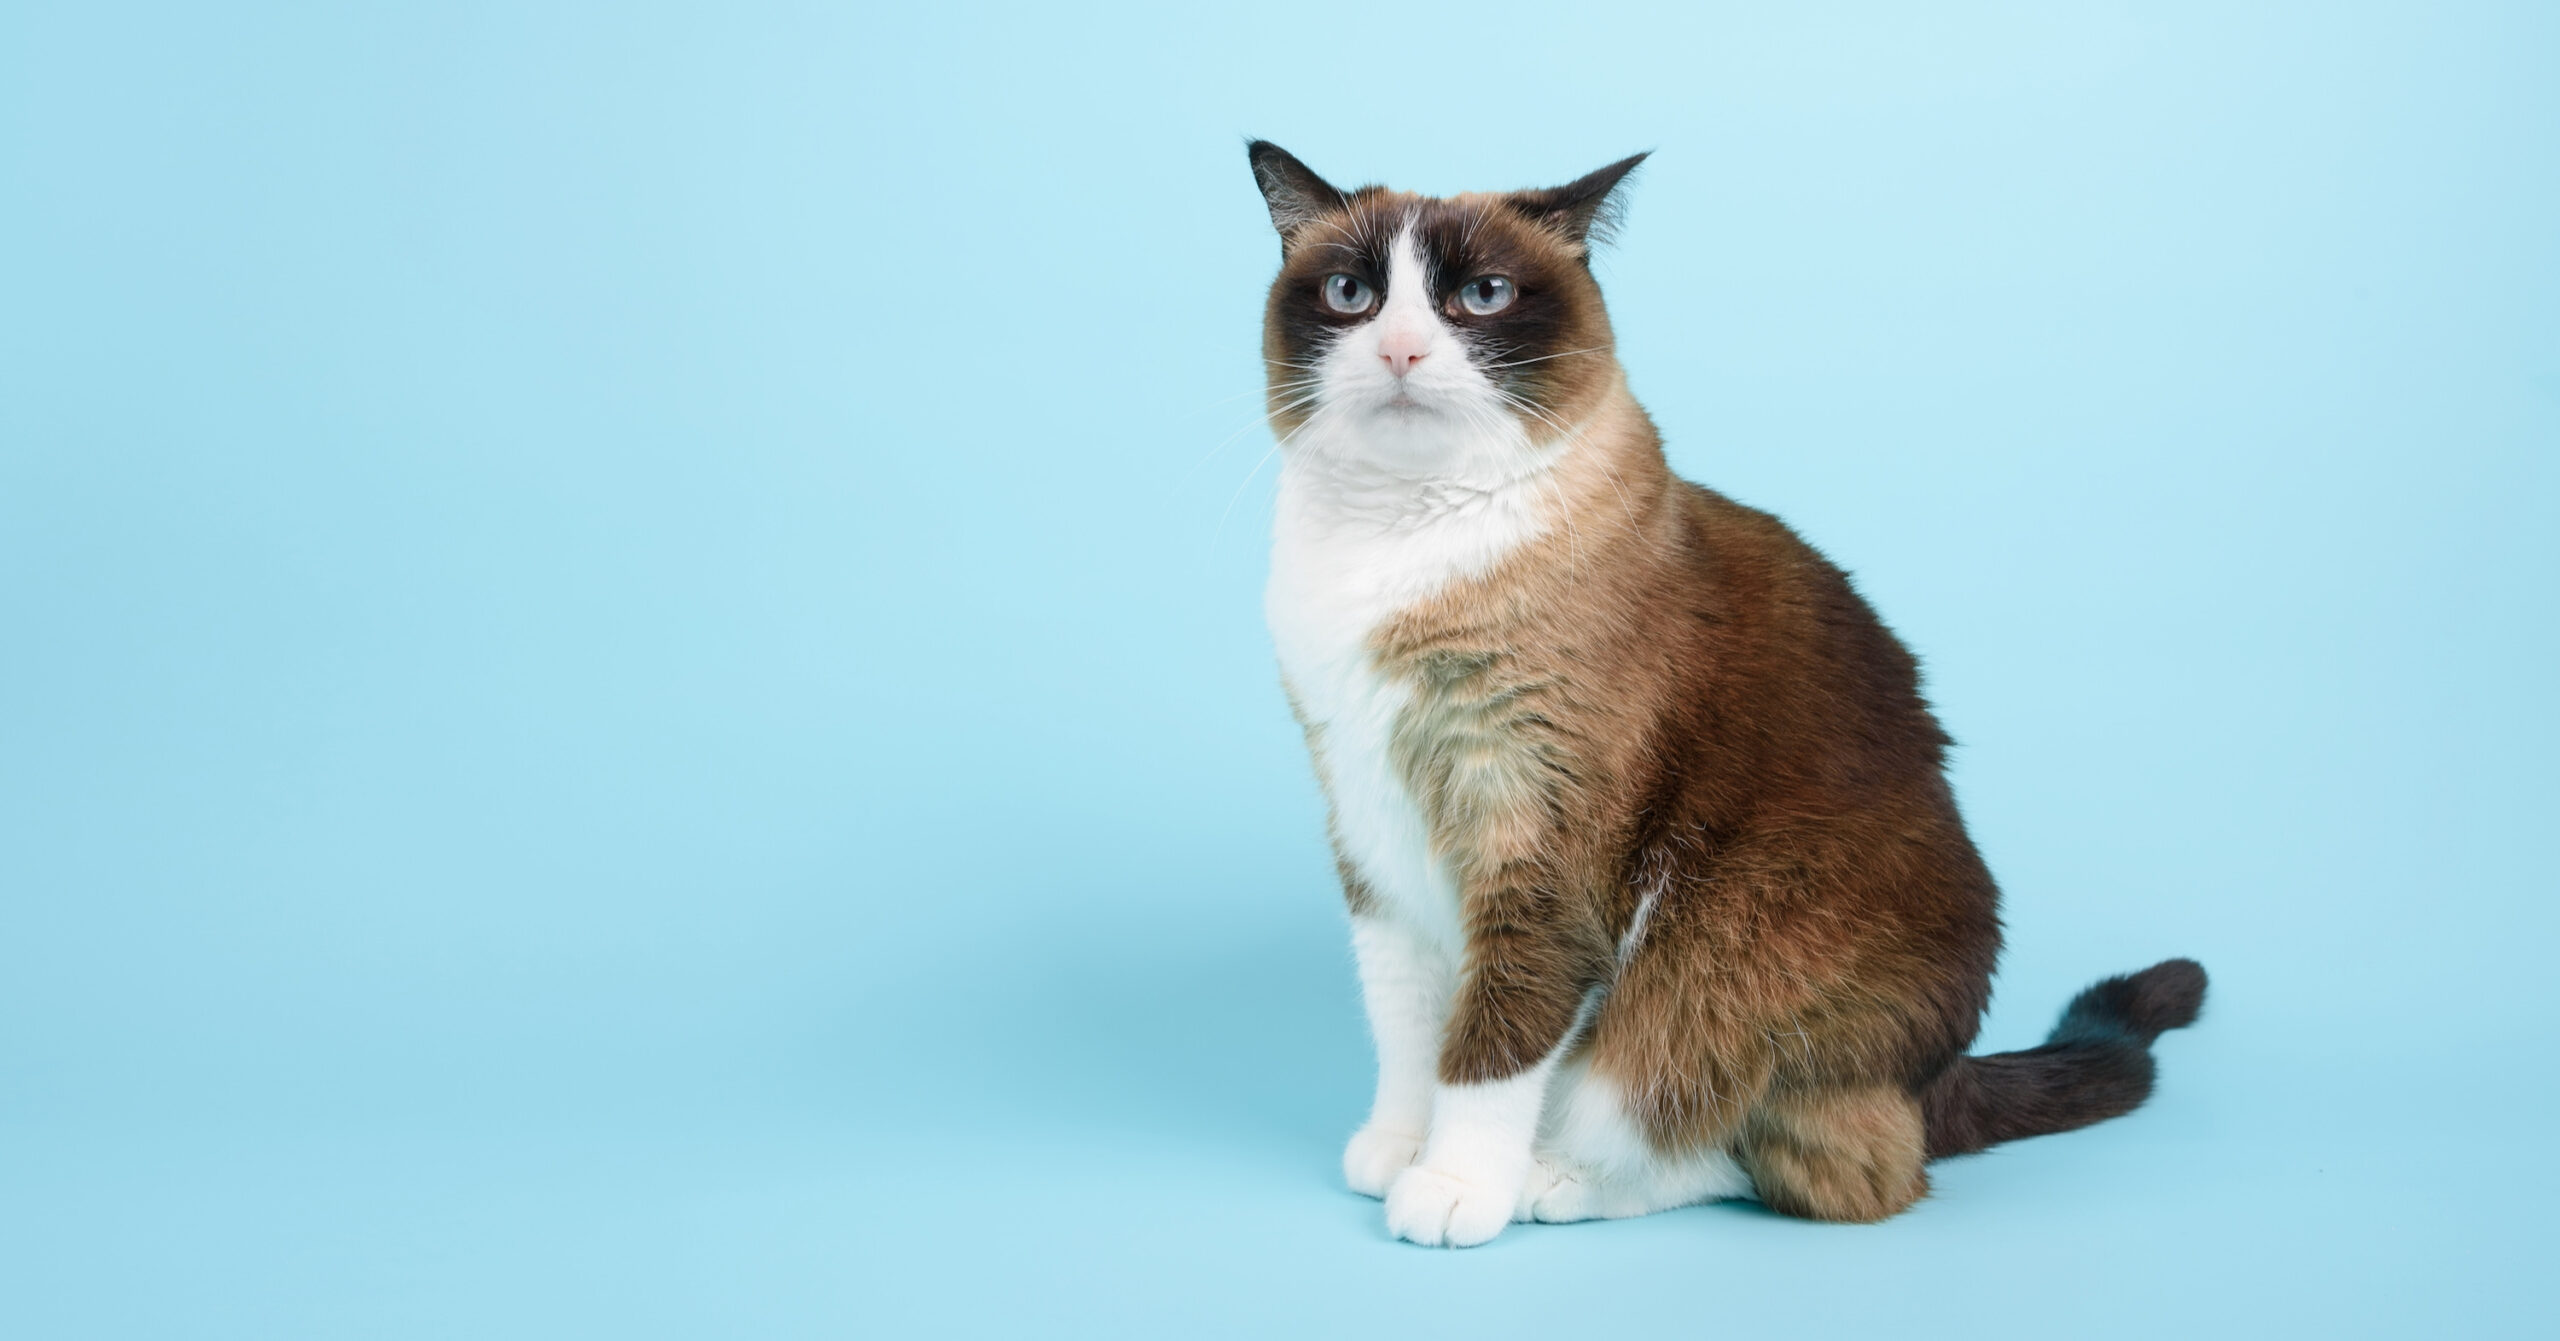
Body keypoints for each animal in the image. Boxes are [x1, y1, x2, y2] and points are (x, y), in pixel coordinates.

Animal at [1244, 143, 2201, 1248]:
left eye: (1481, 296)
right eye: (1350, 295)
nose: (1399, 351)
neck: (1398, 549)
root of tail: (1937, 1076)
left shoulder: (1530, 840)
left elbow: (1491, 1045)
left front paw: (1451, 1186)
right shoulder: (1371, 823)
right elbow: (1407, 1023)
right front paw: (1398, 1146)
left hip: (1720, 955)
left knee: (1789, 1158)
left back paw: (1552, 1179)